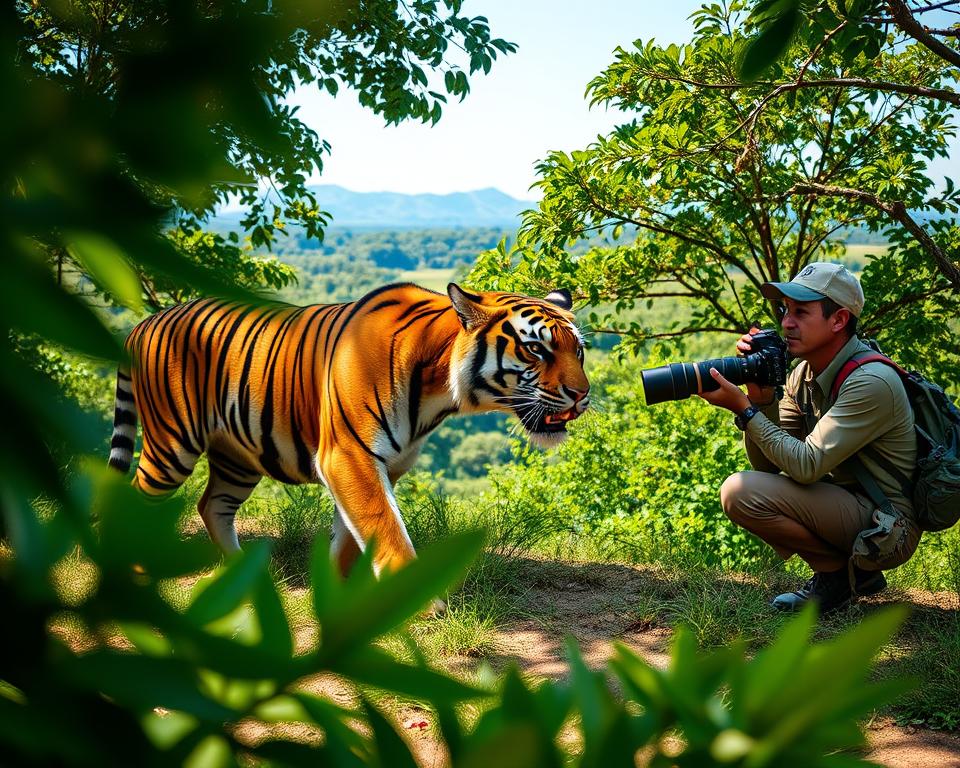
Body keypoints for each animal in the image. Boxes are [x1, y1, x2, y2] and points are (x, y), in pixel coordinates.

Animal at [108, 282, 590, 577]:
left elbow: (351, 535)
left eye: (579, 351)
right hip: (172, 445)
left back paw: (241, 570)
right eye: (536, 349)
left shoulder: (384, 464)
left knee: (213, 506)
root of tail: (143, 324)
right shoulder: (348, 455)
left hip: (238, 456)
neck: (439, 391)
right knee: (136, 497)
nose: (582, 394)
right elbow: (384, 526)